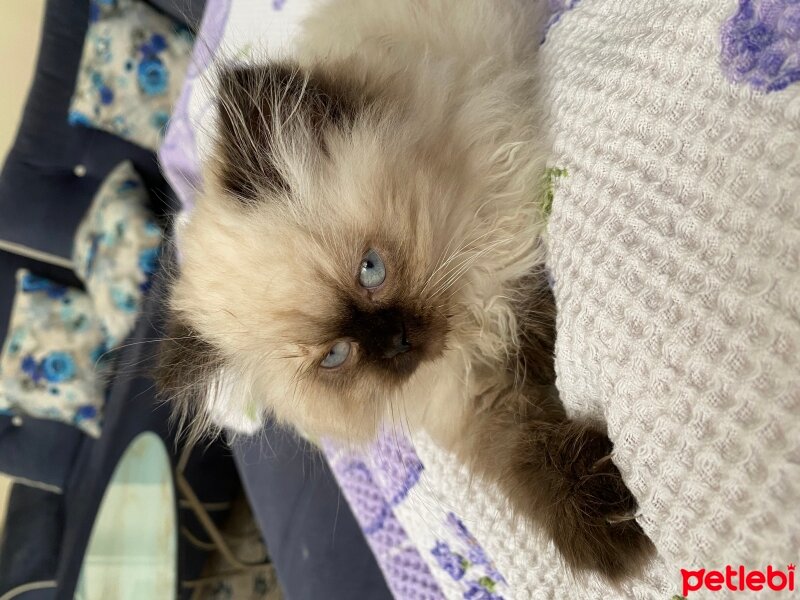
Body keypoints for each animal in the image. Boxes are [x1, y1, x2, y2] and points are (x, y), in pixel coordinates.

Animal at [158, 0, 656, 580]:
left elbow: (536, 336)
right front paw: (609, 533)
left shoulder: (504, 255)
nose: (398, 341)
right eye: (336, 356)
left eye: (371, 270)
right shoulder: (474, 396)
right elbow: (527, 453)